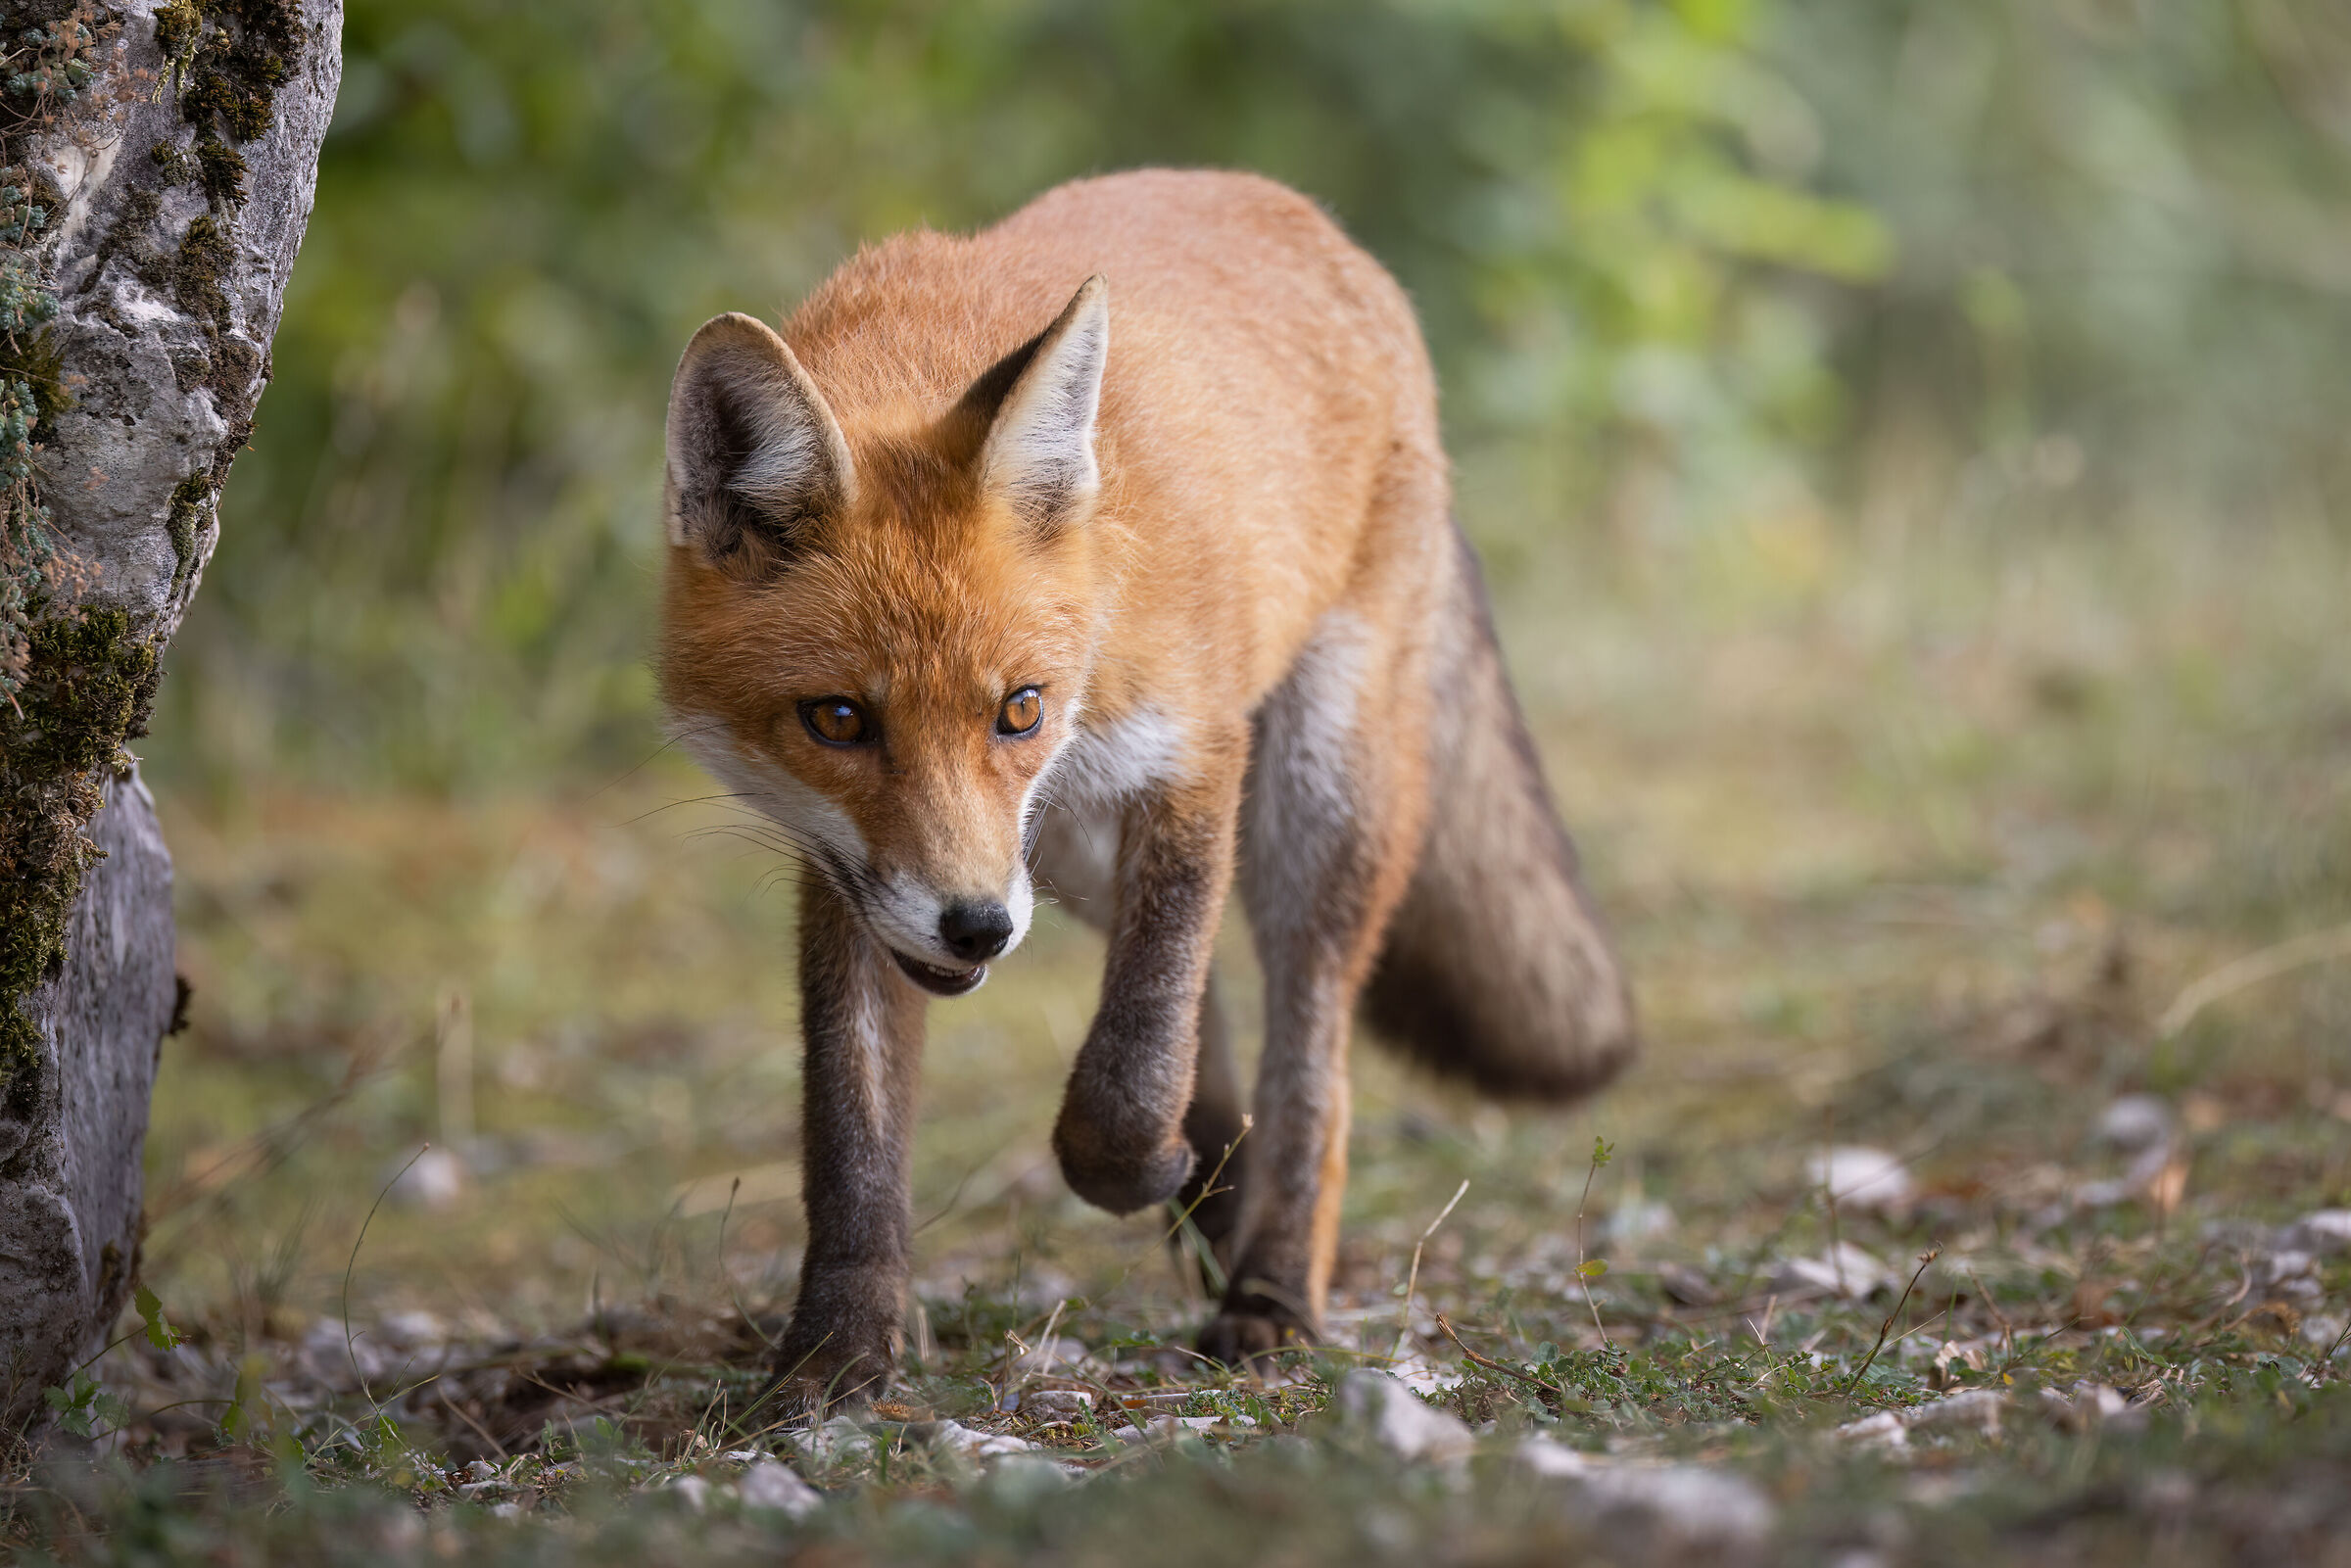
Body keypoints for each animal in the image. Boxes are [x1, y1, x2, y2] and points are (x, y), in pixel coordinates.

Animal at [658, 169, 1635, 1415]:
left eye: (1019, 708)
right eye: (837, 720)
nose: (974, 926)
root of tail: (1294, 211)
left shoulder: (1194, 759)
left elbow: (1133, 1061)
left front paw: (1133, 1166)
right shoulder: (850, 877)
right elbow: (851, 1130)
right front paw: (835, 1357)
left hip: (1312, 800)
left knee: (1308, 1065)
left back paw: (1271, 1288)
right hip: (1070, 865)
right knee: (1203, 1022)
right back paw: (1216, 1188)